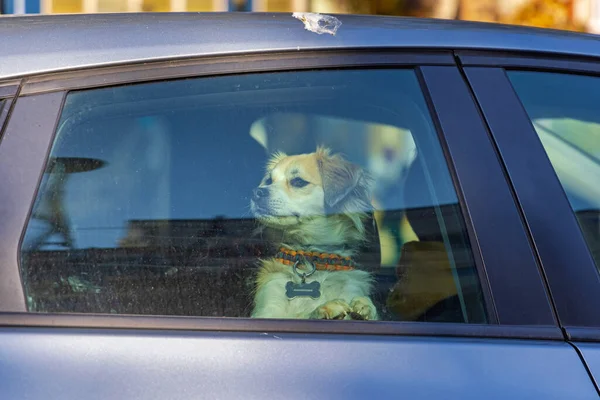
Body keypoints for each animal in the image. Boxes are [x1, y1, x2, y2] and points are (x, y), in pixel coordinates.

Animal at [251, 145, 378, 320]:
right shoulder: (267, 309)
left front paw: (365, 306)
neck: (313, 257)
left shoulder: (352, 288)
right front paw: (323, 308)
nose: (257, 192)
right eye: (269, 181)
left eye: (298, 181)